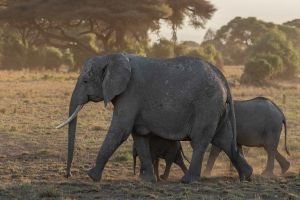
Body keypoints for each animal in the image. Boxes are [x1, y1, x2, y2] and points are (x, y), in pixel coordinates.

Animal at [56, 53, 253, 183]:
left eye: (85, 81)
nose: (68, 175)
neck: (111, 56)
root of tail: (223, 80)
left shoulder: (131, 93)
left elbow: (120, 130)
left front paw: (91, 176)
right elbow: (139, 136)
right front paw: (148, 180)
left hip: (207, 105)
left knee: (200, 140)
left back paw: (187, 180)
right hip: (217, 109)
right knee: (224, 140)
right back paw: (246, 176)